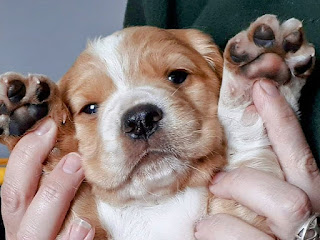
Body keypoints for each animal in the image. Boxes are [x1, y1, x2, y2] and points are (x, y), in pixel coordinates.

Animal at [0, 14, 316, 239]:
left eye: (177, 76)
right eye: (90, 108)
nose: (140, 119)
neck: (155, 203)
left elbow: (244, 135)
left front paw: (257, 78)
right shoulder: (80, 222)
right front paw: (38, 121)